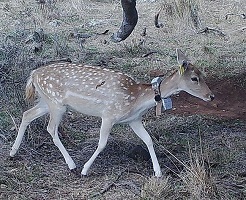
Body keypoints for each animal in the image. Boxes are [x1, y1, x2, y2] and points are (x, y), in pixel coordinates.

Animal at [9, 49, 213, 177]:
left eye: (203, 74)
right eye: (194, 78)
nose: (211, 96)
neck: (137, 100)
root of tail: (33, 74)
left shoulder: (134, 120)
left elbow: (148, 139)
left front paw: (158, 172)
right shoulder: (108, 115)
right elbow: (102, 144)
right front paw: (85, 170)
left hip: (47, 101)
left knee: (27, 114)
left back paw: (13, 152)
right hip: (56, 103)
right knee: (51, 128)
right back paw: (72, 165)